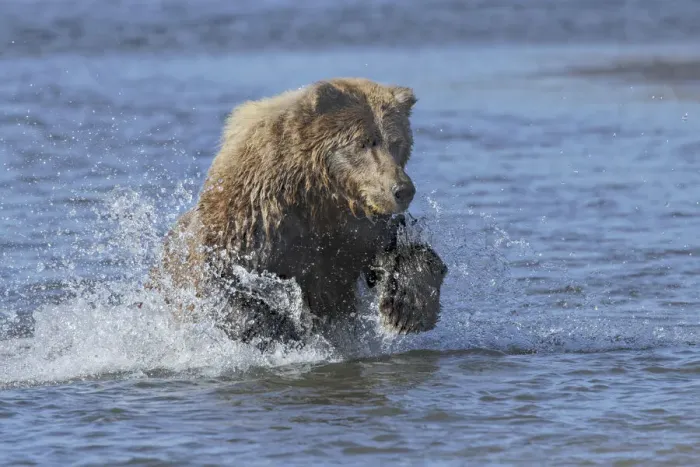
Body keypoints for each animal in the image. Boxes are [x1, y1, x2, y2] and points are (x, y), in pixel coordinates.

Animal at [148, 78, 447, 350]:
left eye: (397, 142)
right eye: (363, 142)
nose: (402, 190)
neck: (317, 195)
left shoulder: (354, 232)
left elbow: (399, 255)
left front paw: (406, 309)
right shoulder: (253, 223)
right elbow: (230, 285)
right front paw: (281, 328)